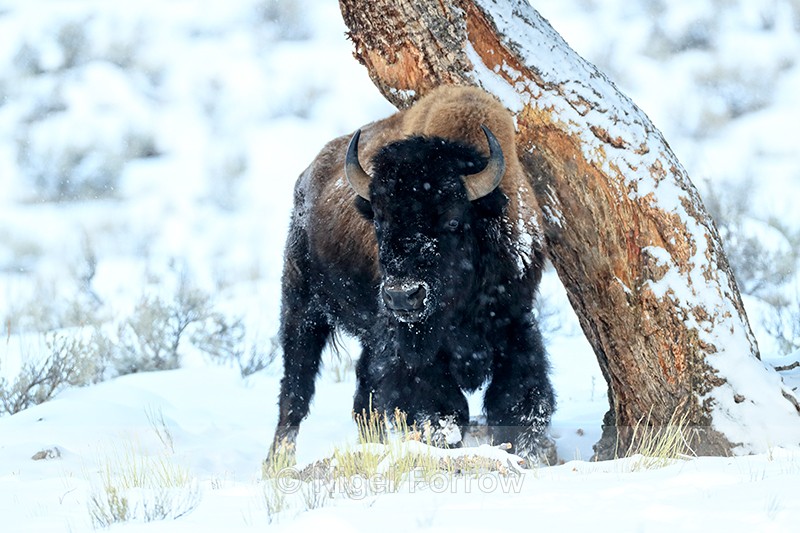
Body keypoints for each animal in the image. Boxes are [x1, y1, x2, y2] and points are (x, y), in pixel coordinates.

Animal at [270, 86, 555, 464]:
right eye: (379, 221)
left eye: (453, 220)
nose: (403, 296)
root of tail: (306, 179)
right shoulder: (411, 353)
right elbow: (442, 410)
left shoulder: (515, 320)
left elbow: (520, 401)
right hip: (303, 307)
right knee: (296, 388)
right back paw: (277, 463)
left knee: (362, 394)